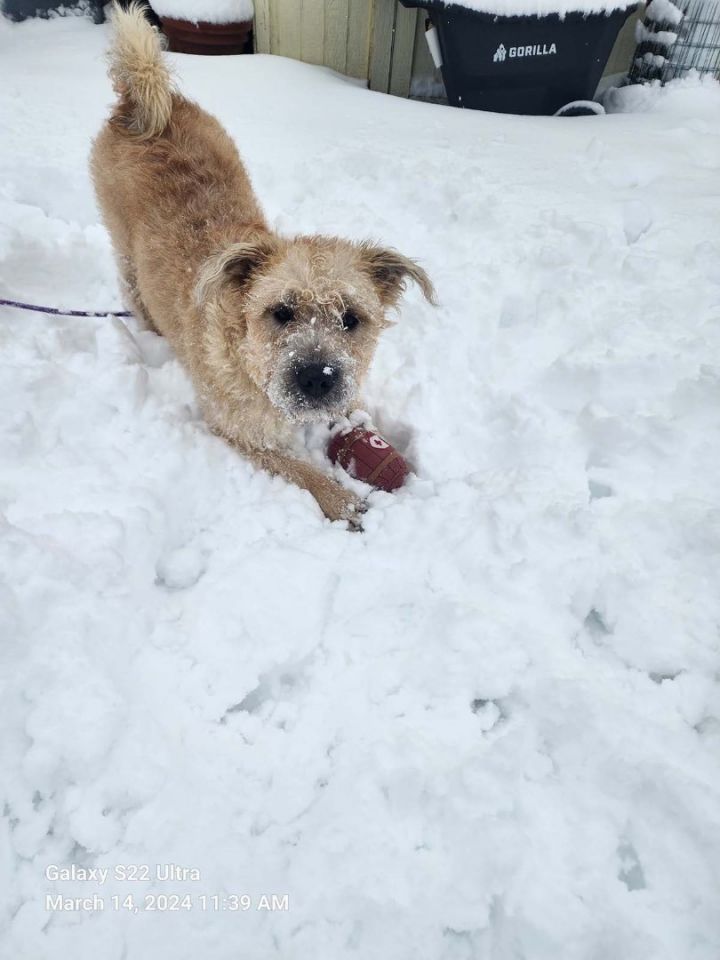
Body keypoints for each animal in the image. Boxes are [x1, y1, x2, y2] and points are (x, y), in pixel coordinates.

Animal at [93, 1, 436, 524]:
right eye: (281, 312)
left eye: (351, 319)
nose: (316, 378)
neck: (248, 352)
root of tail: (142, 103)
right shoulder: (240, 429)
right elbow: (302, 470)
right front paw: (342, 501)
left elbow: (353, 411)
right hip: (125, 251)